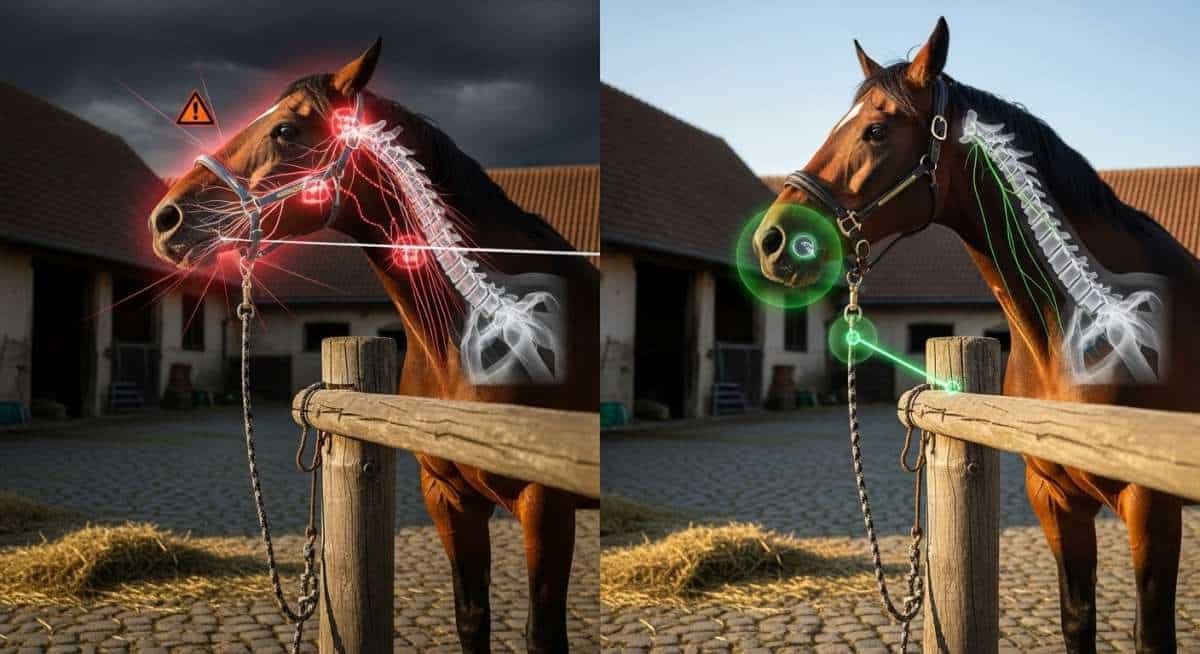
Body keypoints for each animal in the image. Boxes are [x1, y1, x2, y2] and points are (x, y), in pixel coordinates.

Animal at [148, 40, 598, 653]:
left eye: (286, 129)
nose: (165, 220)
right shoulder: (446, 495)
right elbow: (471, 615)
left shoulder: (545, 502)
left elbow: (542, 634)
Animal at [753, 17, 1199, 654]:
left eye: (876, 130)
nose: (772, 240)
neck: (1085, 330)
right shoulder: (1054, 498)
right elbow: (1077, 617)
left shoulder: (1151, 505)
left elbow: (1153, 635)